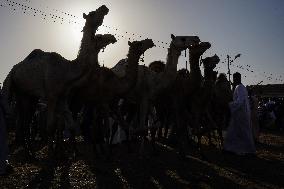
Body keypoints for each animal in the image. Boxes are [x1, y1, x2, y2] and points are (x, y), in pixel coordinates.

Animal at [1, 5, 111, 154]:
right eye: (93, 13)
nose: (104, 7)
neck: (68, 69)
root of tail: (14, 69)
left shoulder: (63, 97)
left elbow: (71, 126)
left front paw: (71, 152)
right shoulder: (51, 95)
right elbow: (50, 126)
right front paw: (52, 153)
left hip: (28, 95)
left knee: (26, 119)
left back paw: (30, 150)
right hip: (18, 89)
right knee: (24, 118)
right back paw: (29, 151)